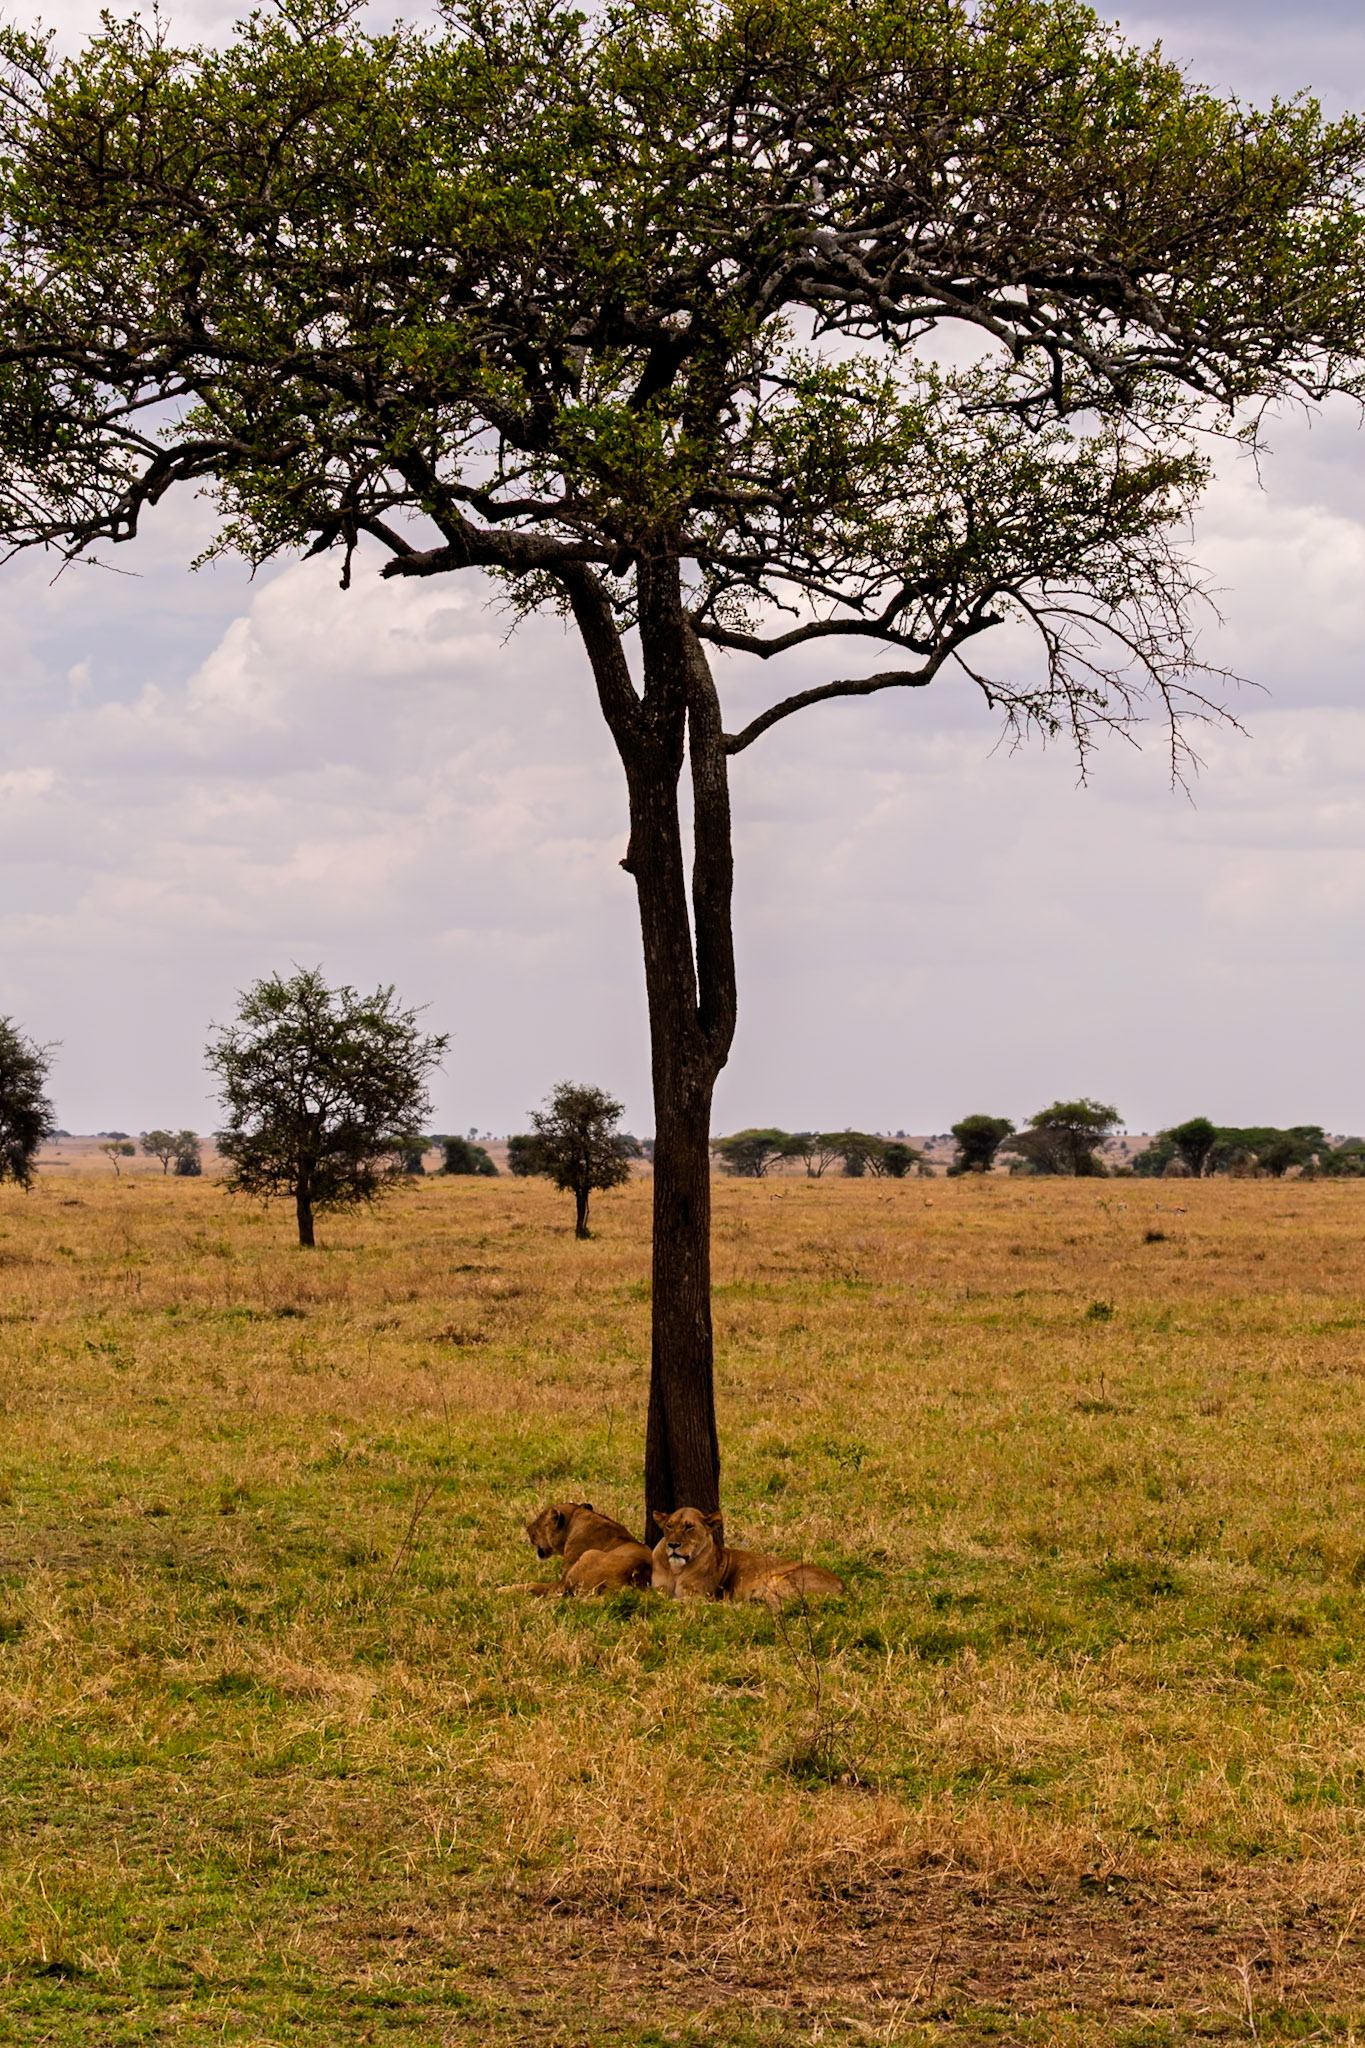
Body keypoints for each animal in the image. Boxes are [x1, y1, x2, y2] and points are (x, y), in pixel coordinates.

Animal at [504, 1500, 652, 1597]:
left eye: (539, 1519)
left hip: (588, 1556)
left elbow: (534, 1585)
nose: (527, 1529)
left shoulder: (562, 1583)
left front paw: (503, 1590)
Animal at [651, 1507, 846, 1608]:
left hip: (780, 1582)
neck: (676, 1570)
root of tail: (843, 1585)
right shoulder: (659, 1587)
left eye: (689, 1527)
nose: (673, 1545)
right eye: (669, 1526)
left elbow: (675, 1601)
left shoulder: (698, 1594)